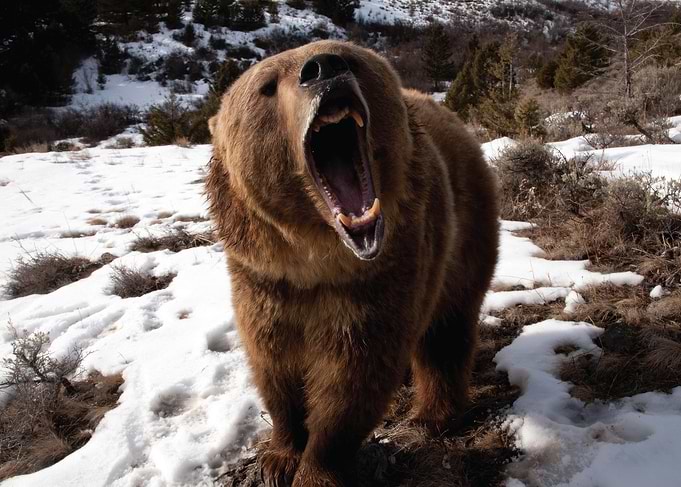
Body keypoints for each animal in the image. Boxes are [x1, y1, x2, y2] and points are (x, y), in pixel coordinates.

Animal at [205, 40, 499, 486]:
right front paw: (279, 457)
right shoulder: (263, 282)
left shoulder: (378, 280)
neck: (316, 260)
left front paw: (315, 469)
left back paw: (431, 416)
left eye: (349, 58)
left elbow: (353, 379)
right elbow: (274, 367)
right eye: (267, 86)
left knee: (446, 331)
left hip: (464, 234)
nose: (323, 68)